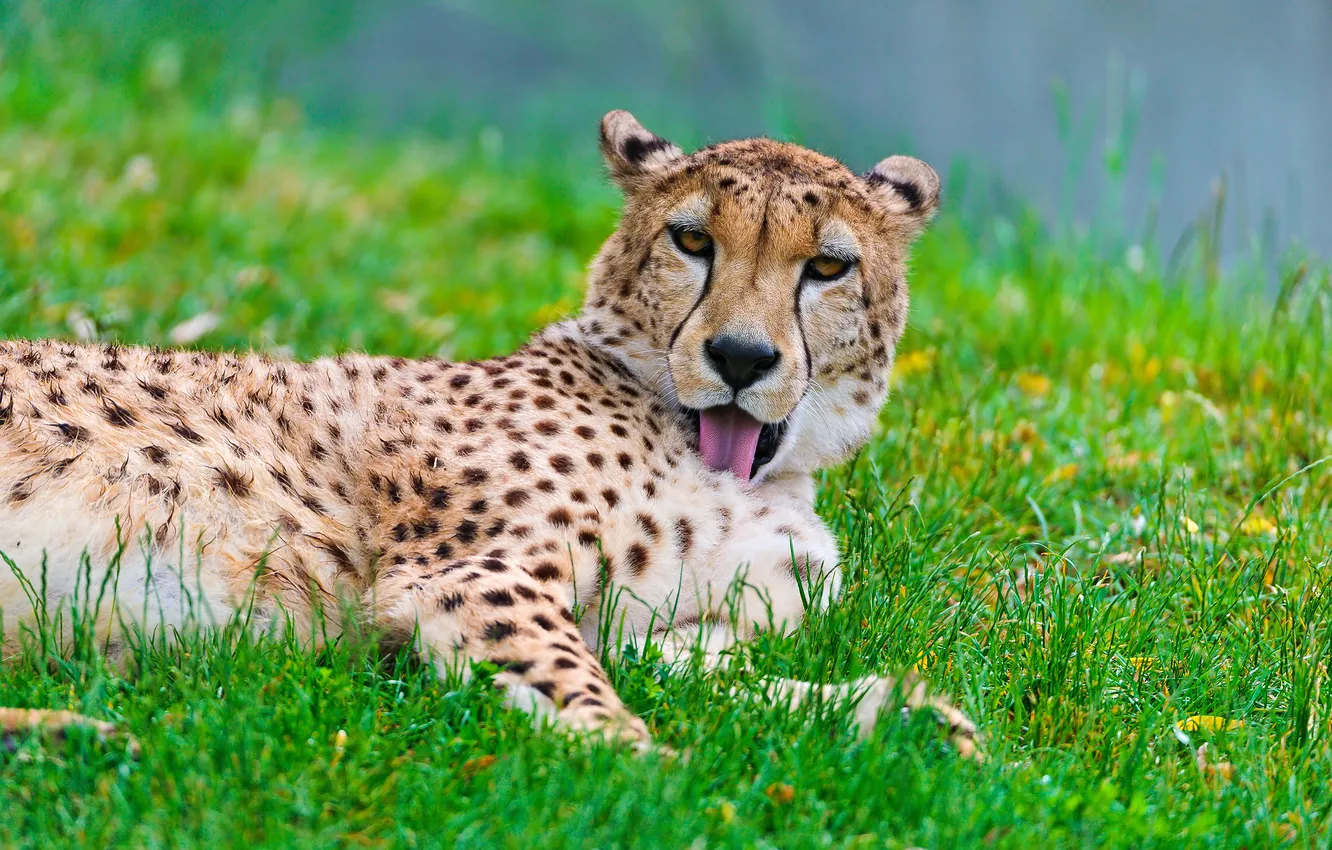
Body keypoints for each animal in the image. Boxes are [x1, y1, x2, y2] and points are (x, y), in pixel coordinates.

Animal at [0, 111, 978, 758]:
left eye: (827, 266)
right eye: (693, 241)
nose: (740, 356)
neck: (753, 471)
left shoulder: (672, 631)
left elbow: (732, 679)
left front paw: (898, 716)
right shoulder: (472, 574)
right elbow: (580, 686)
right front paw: (650, 765)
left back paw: (74, 735)